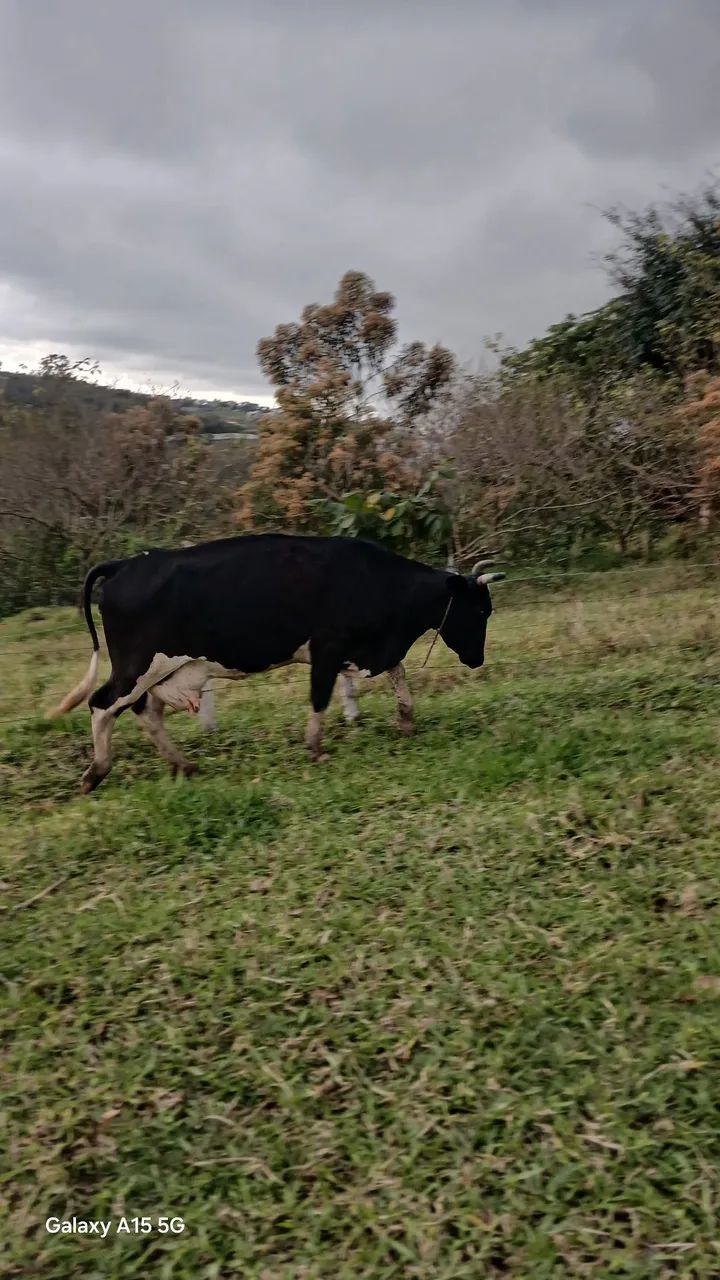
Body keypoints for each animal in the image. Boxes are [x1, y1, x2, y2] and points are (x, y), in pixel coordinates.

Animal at [48, 533, 505, 793]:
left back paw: (183, 764)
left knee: (146, 711)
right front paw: (316, 749)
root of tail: (125, 564)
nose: (477, 659)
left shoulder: (369, 650)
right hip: (138, 665)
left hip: (166, 669)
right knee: (103, 704)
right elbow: (320, 698)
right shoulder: (328, 649)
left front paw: (407, 721)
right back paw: (96, 773)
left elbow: (399, 676)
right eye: (481, 611)